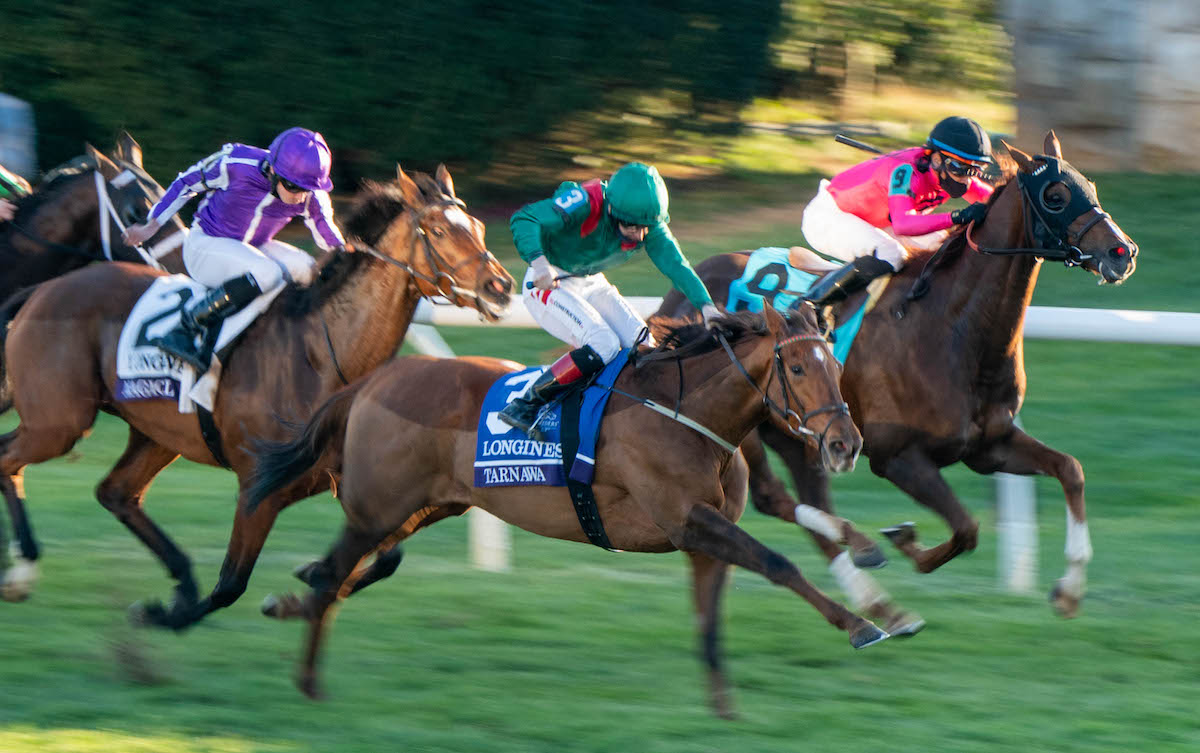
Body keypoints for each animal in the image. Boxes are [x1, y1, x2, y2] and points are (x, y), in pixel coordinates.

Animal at [0, 163, 513, 618]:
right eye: (439, 231)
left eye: (477, 227)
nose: (502, 286)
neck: (323, 353)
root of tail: (41, 291)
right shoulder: (259, 487)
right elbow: (231, 584)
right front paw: (167, 614)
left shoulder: (348, 478)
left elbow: (385, 556)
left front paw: (310, 578)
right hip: (58, 422)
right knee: (13, 460)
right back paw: (25, 568)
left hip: (154, 433)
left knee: (116, 493)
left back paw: (179, 576)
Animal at [246, 305, 883, 719]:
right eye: (796, 369)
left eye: (835, 365)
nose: (844, 444)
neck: (689, 414)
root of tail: (375, 379)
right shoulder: (687, 518)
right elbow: (778, 564)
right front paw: (861, 624)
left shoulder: (703, 539)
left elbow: (709, 623)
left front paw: (724, 709)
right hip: (380, 507)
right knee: (338, 571)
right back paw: (308, 680)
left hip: (429, 505)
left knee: (351, 570)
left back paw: (292, 606)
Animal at [657, 130, 1132, 623]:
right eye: (1055, 196)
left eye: (1091, 186)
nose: (1122, 252)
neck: (952, 329)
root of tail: (686, 287)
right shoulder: (897, 456)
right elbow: (966, 529)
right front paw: (902, 537)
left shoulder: (989, 445)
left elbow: (1070, 470)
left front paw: (1069, 590)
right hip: (745, 423)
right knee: (775, 497)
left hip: (802, 432)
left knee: (808, 498)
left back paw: (877, 602)